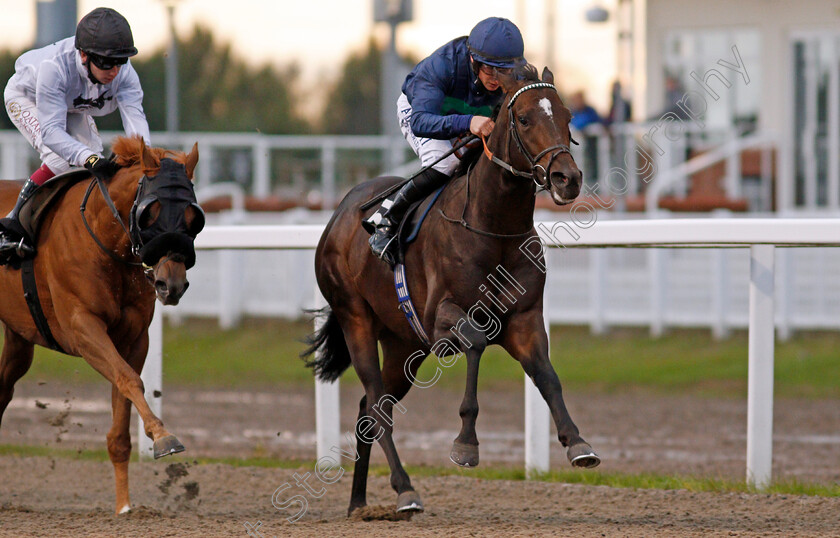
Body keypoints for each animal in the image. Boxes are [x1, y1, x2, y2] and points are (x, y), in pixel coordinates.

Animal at [0, 136, 204, 512]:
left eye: (192, 216)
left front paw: (124, 505)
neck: (106, 240)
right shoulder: (83, 328)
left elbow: (124, 403)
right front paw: (162, 435)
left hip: (19, 336)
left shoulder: (134, 338)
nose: (171, 284)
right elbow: (129, 378)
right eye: (150, 213)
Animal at [306, 65, 600, 512]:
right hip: (354, 317)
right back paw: (405, 489)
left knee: (370, 410)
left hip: (403, 344)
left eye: (567, 116)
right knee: (375, 404)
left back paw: (359, 502)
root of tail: (339, 214)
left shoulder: (525, 319)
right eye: (524, 119)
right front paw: (466, 444)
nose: (568, 178)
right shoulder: (440, 317)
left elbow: (547, 376)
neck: (493, 227)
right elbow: (476, 341)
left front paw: (578, 443)